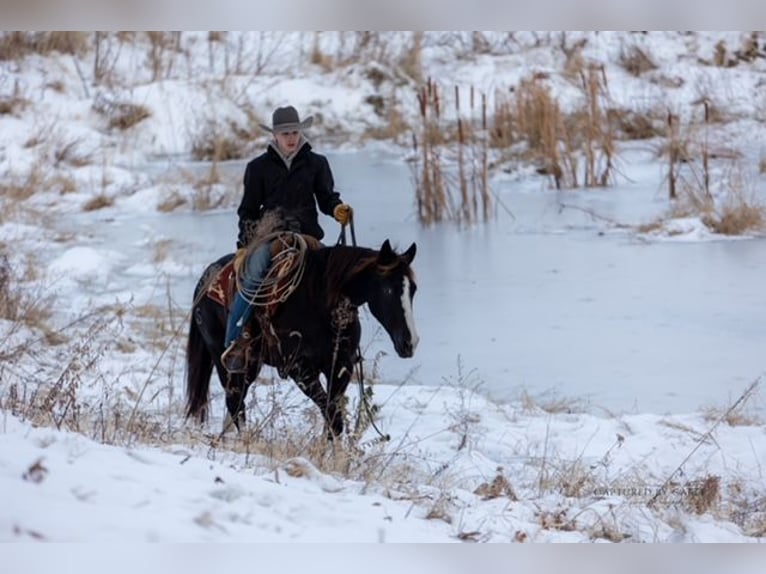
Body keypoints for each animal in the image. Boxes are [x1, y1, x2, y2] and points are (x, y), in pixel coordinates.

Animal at [185, 237, 418, 438]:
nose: (410, 342)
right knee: (234, 400)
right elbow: (332, 417)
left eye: (413, 289)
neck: (319, 301)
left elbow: (332, 417)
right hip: (223, 356)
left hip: (251, 364)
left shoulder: (341, 366)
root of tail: (205, 279)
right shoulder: (298, 367)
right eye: (388, 290)